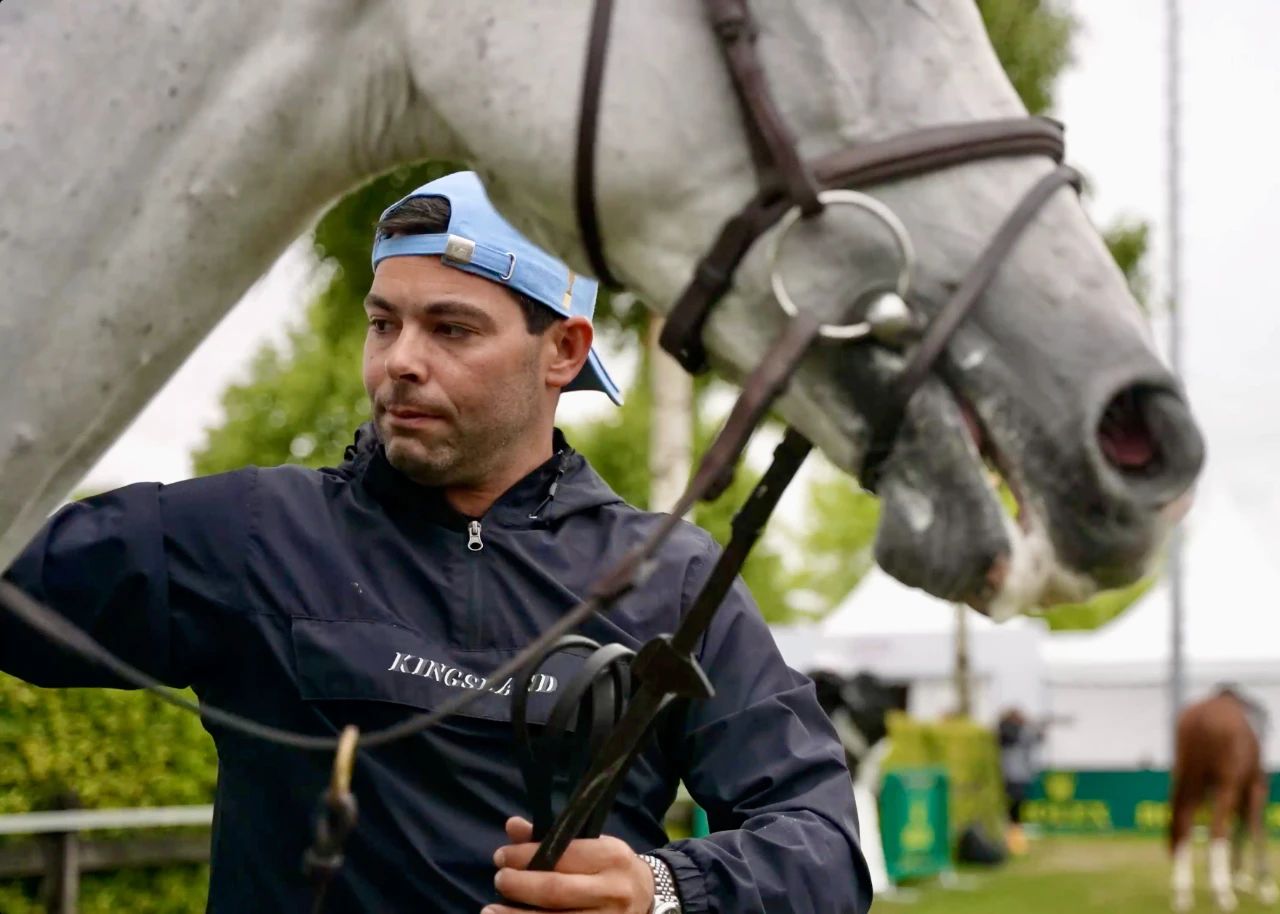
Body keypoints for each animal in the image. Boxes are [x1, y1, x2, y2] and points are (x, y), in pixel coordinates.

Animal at [1170, 687, 1277, 912]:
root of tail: (1201, 717)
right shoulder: (1254, 788)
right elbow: (1256, 830)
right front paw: (1265, 887)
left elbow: (1238, 831)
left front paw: (1236, 878)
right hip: (1225, 787)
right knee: (1217, 829)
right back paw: (1223, 893)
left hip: (1192, 784)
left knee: (1185, 825)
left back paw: (1183, 895)